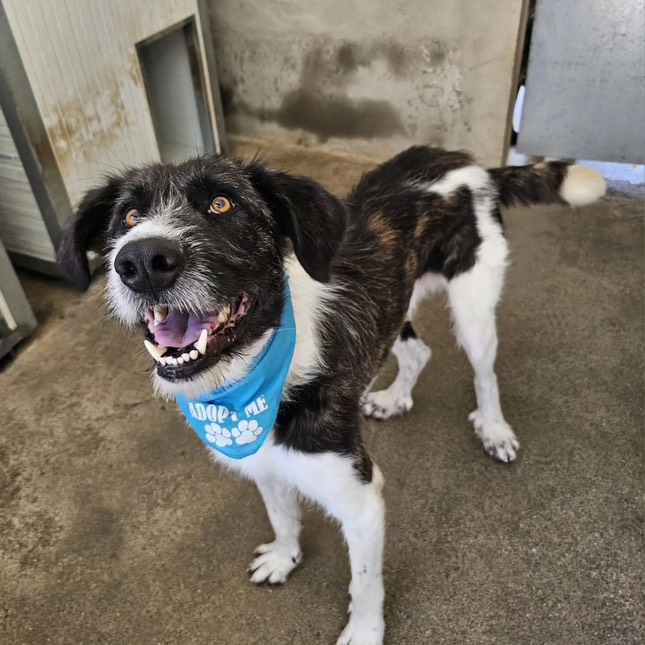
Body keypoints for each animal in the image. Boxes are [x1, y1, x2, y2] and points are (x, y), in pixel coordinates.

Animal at [59, 146, 606, 644]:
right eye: (128, 217)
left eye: (222, 204)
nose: (141, 261)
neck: (252, 378)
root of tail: (463, 160)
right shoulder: (265, 463)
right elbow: (282, 516)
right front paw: (284, 557)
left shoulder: (362, 499)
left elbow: (364, 584)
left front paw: (363, 633)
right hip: (397, 304)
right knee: (419, 351)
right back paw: (394, 398)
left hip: (474, 302)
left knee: (484, 372)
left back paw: (493, 429)